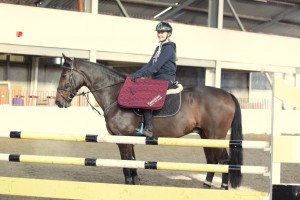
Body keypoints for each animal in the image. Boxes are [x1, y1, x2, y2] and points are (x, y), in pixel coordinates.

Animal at [55, 53, 244, 189]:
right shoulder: (127, 138)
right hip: (206, 136)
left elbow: (126, 162)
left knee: (224, 161)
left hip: (215, 136)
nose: (58, 102)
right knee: (213, 161)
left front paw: (129, 184)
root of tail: (227, 94)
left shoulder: (123, 137)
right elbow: (131, 161)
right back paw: (206, 186)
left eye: (64, 75)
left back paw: (223, 188)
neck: (115, 94)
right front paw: (136, 183)